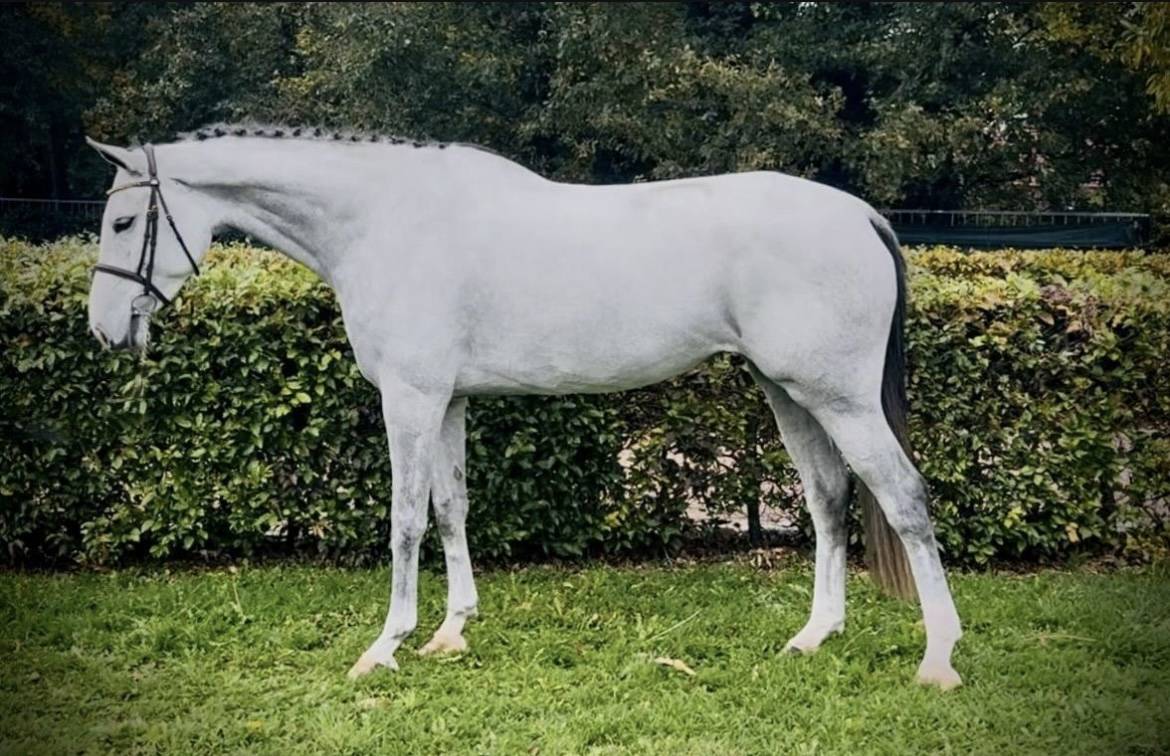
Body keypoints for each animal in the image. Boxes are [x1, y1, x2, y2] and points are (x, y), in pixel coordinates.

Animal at [85, 126, 962, 689]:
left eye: (125, 219)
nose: (103, 328)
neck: (385, 223)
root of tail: (859, 214)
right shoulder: (446, 401)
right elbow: (451, 509)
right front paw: (449, 632)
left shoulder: (409, 399)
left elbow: (404, 520)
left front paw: (385, 646)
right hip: (791, 395)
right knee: (829, 501)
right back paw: (814, 637)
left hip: (838, 398)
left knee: (904, 498)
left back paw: (939, 660)